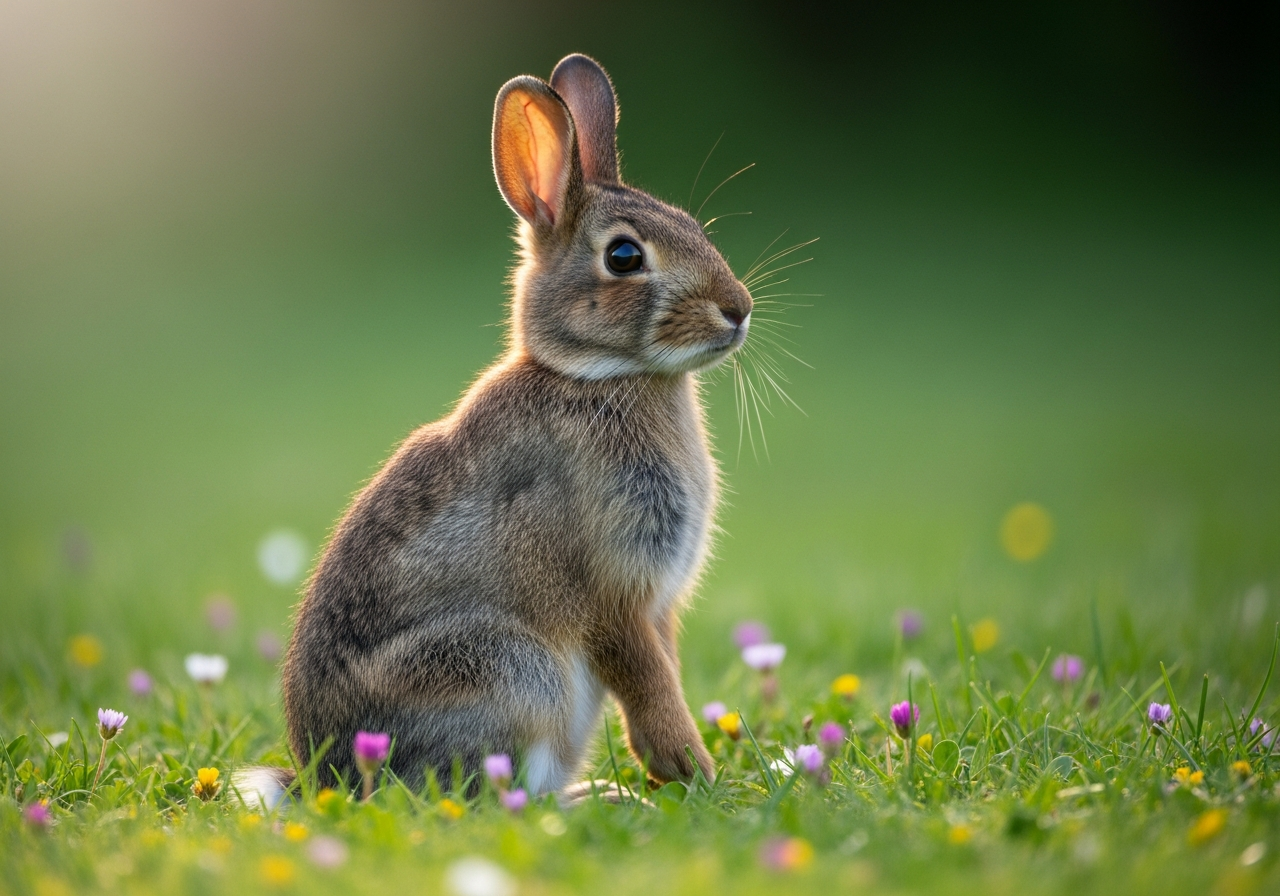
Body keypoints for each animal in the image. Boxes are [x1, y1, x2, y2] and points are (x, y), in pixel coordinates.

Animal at [236, 53, 752, 808]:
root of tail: (326, 783)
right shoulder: (611, 591)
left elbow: (663, 676)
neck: (594, 376)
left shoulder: (656, 605)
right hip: (513, 672)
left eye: (693, 225)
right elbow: (651, 685)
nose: (737, 309)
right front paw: (695, 772)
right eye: (625, 257)